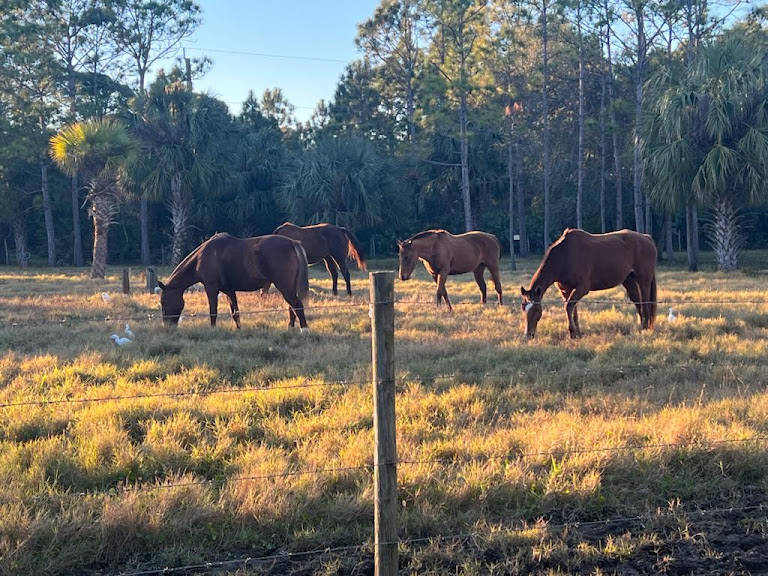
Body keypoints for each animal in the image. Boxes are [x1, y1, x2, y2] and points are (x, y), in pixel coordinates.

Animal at [158, 233, 310, 331]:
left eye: (163, 302)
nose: (167, 326)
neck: (202, 257)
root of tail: (292, 242)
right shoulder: (229, 291)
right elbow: (235, 312)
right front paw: (239, 329)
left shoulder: (211, 288)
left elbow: (213, 311)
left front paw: (212, 329)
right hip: (289, 287)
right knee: (292, 307)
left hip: (285, 287)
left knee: (297, 305)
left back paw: (304, 329)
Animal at [520, 228, 657, 339]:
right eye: (523, 308)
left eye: (537, 309)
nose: (528, 335)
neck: (564, 256)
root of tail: (646, 238)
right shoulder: (566, 291)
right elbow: (572, 310)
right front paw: (577, 333)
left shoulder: (582, 288)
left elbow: (568, 307)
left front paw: (572, 332)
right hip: (629, 280)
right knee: (638, 303)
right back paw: (641, 327)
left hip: (643, 280)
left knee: (645, 303)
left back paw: (646, 328)